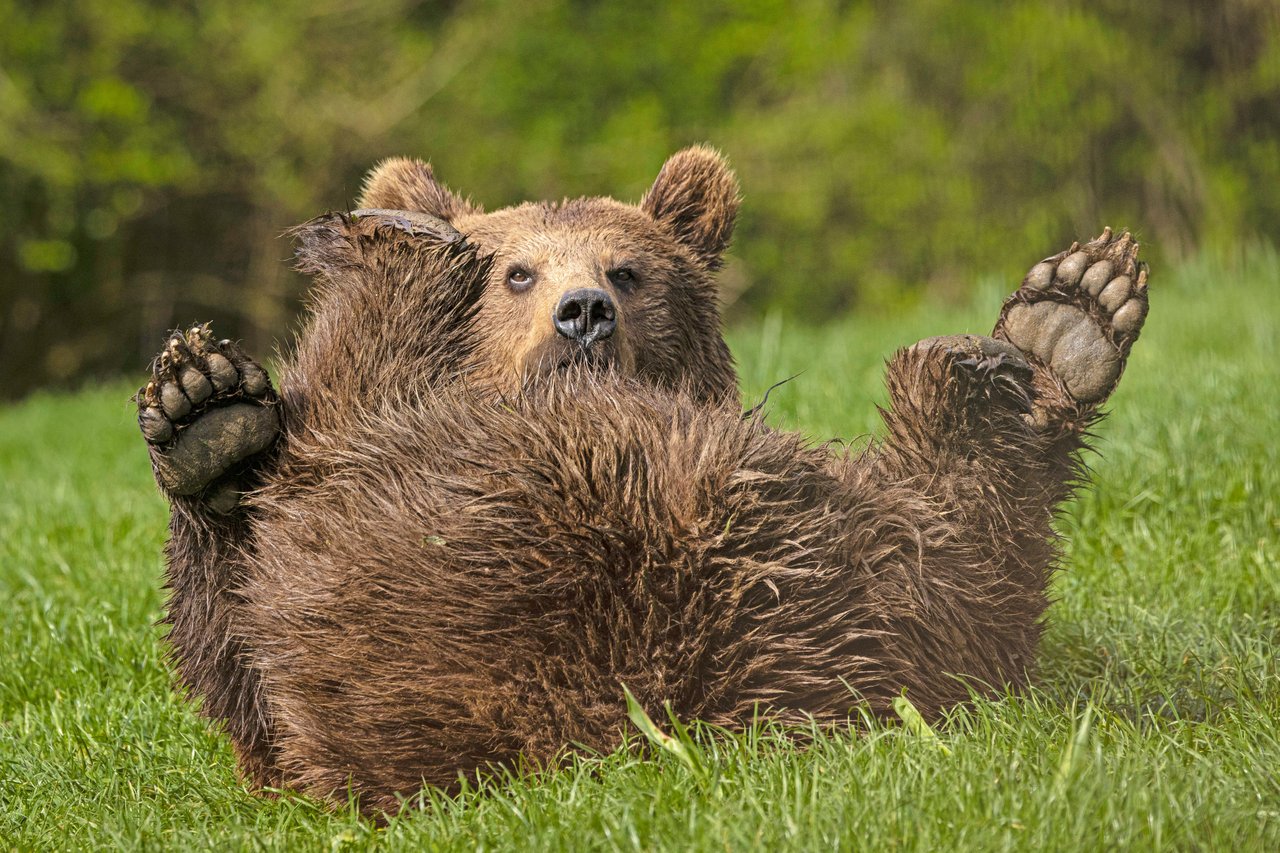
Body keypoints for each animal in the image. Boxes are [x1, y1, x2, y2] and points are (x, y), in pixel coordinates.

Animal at [132, 146, 1152, 809]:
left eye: (628, 268)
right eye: (517, 273)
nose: (583, 310)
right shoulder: (285, 744)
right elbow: (234, 675)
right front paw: (205, 412)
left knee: (960, 570)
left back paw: (1070, 313)